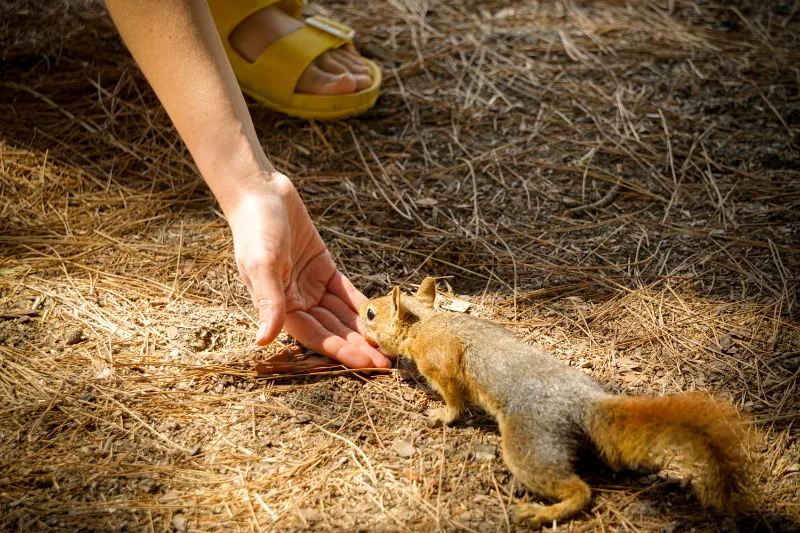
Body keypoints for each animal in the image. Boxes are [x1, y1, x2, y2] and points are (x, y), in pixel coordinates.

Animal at [360, 276, 752, 524]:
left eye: (371, 313)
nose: (361, 312)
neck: (425, 321)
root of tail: (586, 404)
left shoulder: (440, 361)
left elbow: (454, 396)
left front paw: (442, 414)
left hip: (530, 442)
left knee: (579, 489)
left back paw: (541, 513)